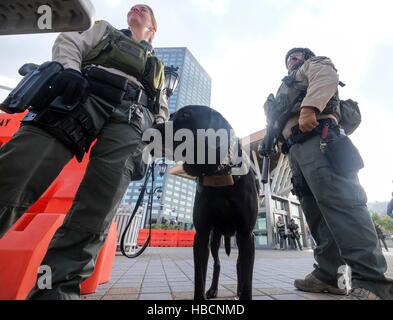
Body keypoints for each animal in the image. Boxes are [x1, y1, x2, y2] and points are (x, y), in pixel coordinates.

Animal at [152, 105, 258, 300]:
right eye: (171, 116)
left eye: (186, 115)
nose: (153, 126)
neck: (219, 174)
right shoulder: (201, 235)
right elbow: (199, 277)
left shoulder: (247, 234)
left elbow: (248, 281)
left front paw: (244, 292)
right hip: (215, 239)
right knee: (217, 264)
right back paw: (213, 289)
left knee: (239, 265)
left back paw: (238, 289)